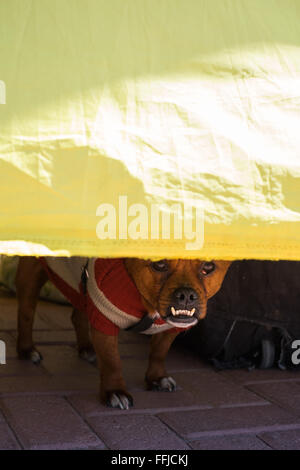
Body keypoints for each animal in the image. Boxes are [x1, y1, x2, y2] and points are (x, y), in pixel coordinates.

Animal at [16, 258, 231, 408]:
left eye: (208, 267)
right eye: (159, 264)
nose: (186, 294)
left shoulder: (170, 329)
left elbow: (159, 352)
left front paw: (157, 377)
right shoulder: (105, 318)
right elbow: (112, 361)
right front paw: (115, 391)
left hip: (80, 289)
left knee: (78, 314)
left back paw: (86, 348)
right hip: (31, 276)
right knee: (26, 314)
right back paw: (27, 350)